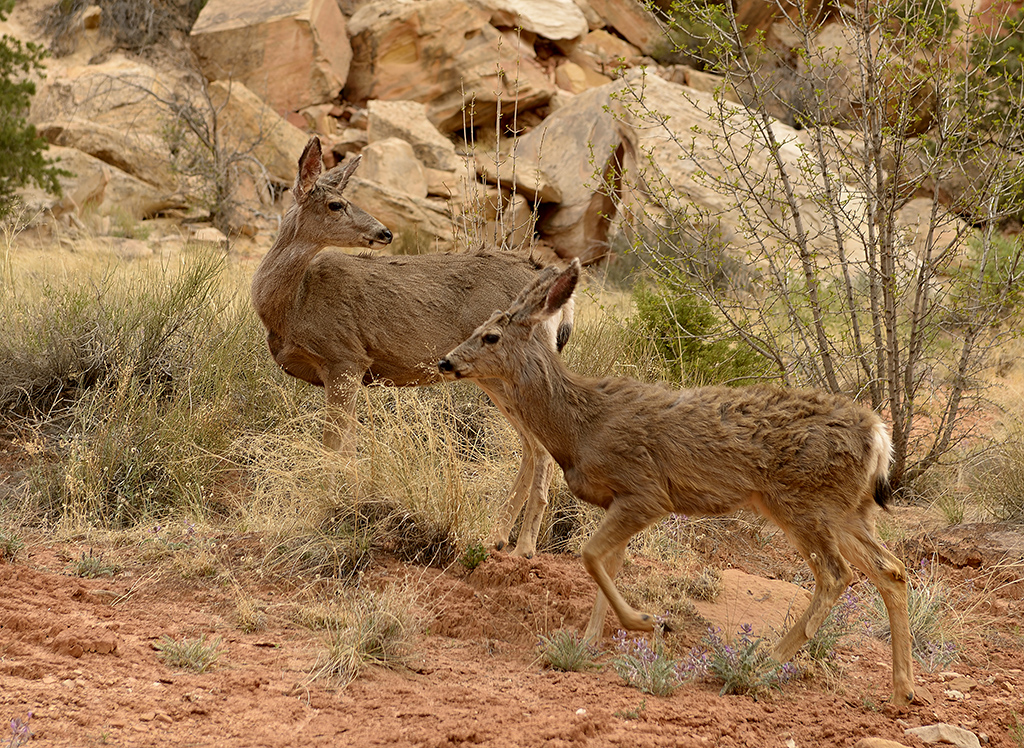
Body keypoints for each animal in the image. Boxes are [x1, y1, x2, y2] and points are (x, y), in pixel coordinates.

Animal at [246, 137, 569, 557]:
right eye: (336, 204)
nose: (384, 232)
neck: (292, 305)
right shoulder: (343, 370)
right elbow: (344, 444)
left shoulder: (344, 357)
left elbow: (335, 446)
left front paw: (337, 508)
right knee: (531, 446)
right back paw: (495, 537)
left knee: (540, 446)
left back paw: (524, 546)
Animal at [436, 259, 917, 700]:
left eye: (490, 336)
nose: (445, 360)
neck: (580, 425)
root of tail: (878, 433)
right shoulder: (619, 500)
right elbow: (606, 564)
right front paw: (589, 643)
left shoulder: (646, 491)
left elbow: (590, 556)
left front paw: (648, 622)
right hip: (848, 511)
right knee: (892, 571)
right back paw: (901, 691)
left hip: (801, 502)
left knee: (837, 576)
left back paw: (763, 662)